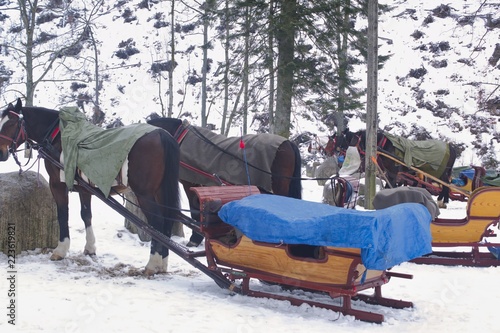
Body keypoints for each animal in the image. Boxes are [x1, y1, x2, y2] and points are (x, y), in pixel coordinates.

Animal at [0, 99, 180, 274]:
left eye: (11, 124)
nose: (1, 153)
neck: (58, 137)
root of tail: (162, 133)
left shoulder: (57, 184)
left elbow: (63, 214)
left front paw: (61, 249)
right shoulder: (84, 188)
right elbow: (86, 215)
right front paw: (90, 247)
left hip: (145, 194)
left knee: (157, 222)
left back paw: (152, 264)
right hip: (160, 192)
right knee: (167, 223)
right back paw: (163, 263)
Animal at [328, 128, 458, 206]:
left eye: (348, 140)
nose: (338, 151)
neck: (384, 146)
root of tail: (451, 147)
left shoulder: (394, 173)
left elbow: (391, 186)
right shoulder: (389, 173)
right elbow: (388, 186)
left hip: (441, 172)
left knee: (446, 184)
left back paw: (442, 200)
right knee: (446, 184)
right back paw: (444, 200)